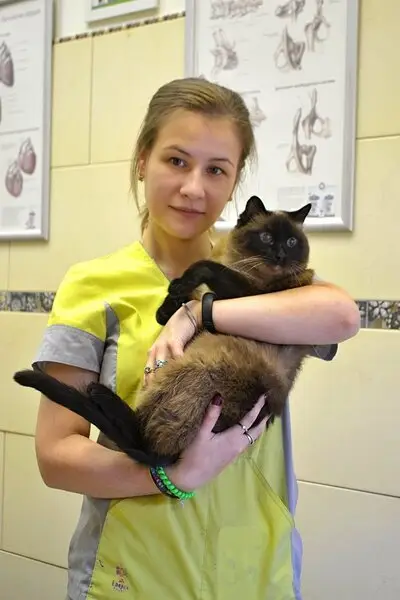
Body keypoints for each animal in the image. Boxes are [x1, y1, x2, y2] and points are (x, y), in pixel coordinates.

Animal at [13, 195, 314, 468]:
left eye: (291, 242)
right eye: (266, 237)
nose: (280, 256)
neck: (235, 260)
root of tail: (172, 458)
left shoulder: (250, 293)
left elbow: (204, 267)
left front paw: (179, 286)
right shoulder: (213, 293)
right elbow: (182, 303)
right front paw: (168, 303)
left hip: (194, 370)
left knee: (142, 441)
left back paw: (99, 395)